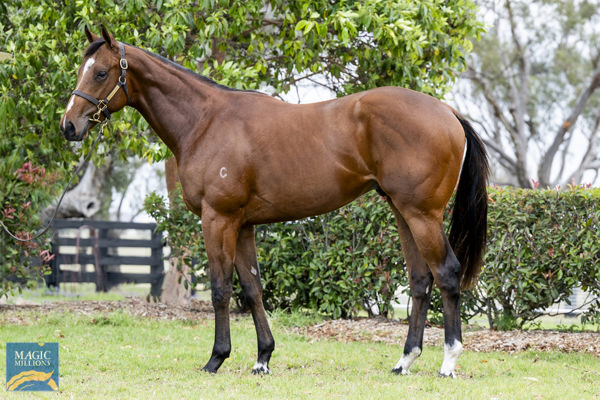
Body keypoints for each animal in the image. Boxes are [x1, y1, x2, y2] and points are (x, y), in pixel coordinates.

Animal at [61, 25, 490, 378]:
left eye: (101, 73)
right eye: (81, 69)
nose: (69, 126)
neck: (205, 122)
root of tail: (447, 111)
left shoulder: (218, 219)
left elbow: (220, 289)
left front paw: (216, 358)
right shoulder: (243, 225)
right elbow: (252, 289)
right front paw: (262, 358)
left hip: (423, 215)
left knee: (447, 273)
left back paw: (449, 361)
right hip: (403, 213)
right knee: (420, 281)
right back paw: (404, 361)